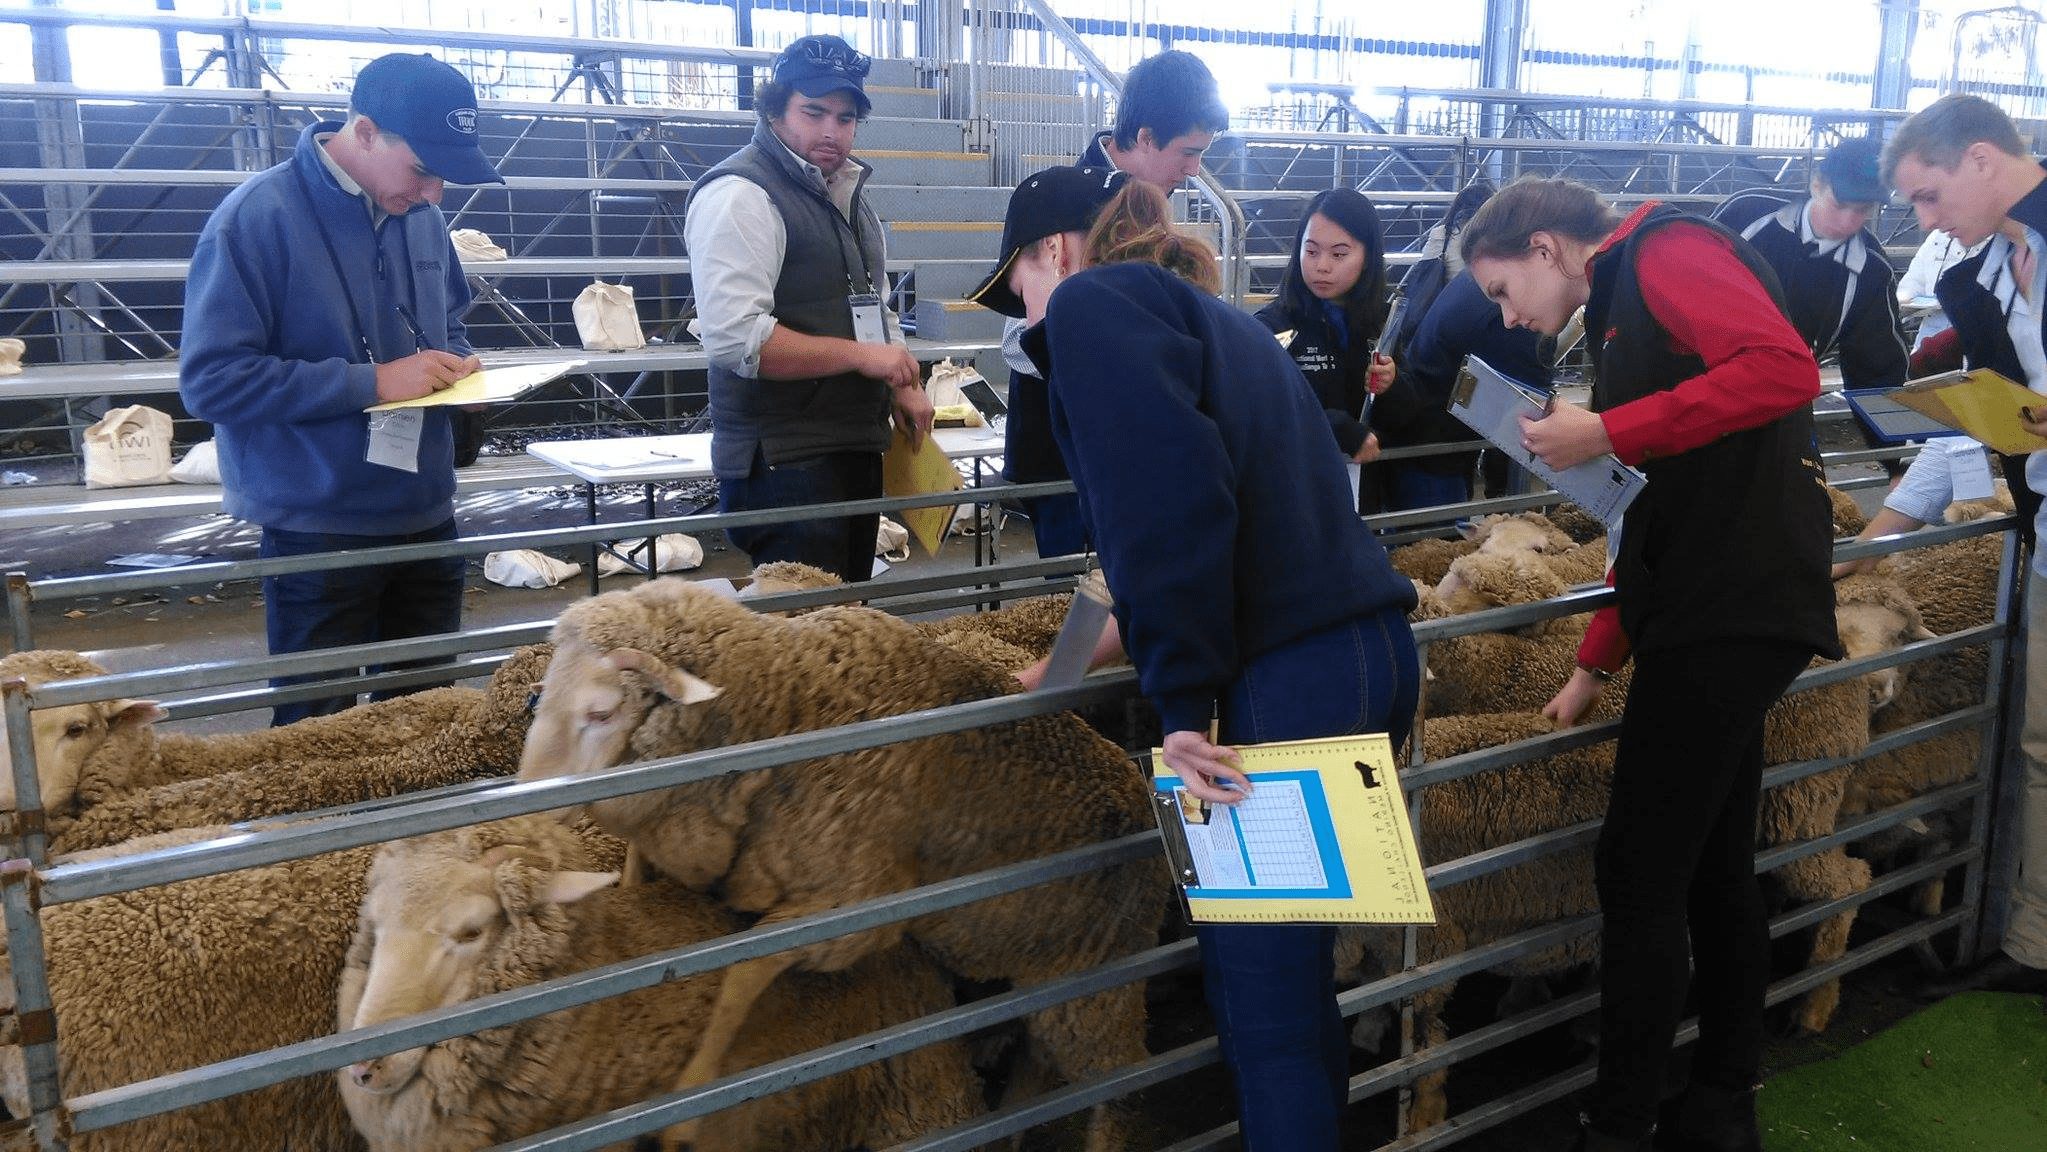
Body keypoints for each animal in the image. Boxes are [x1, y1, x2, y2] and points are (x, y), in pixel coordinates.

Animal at [519, 581, 1170, 1152]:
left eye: (601, 713)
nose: (527, 807)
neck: (791, 707)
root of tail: (1136, 787)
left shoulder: (853, 909)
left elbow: (743, 973)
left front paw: (690, 1101)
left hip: (1097, 988)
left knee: (1121, 1086)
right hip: (1045, 982)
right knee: (1036, 1066)